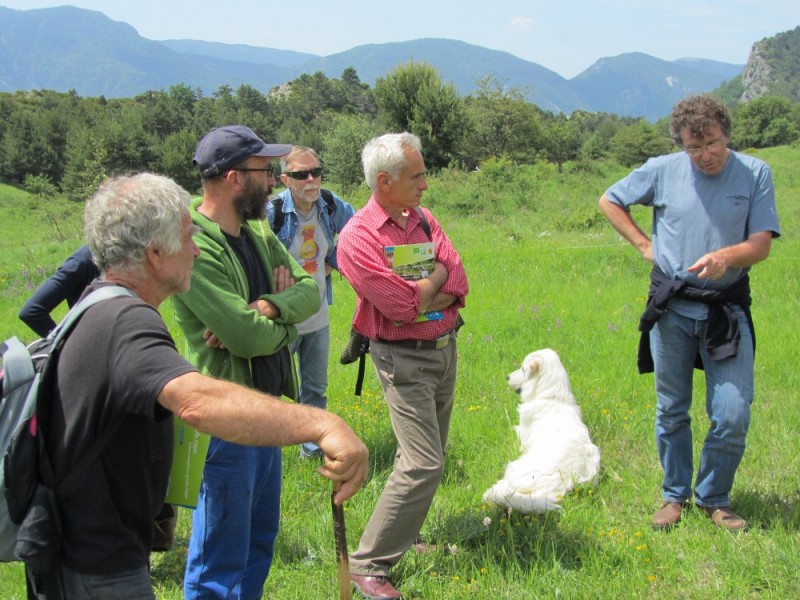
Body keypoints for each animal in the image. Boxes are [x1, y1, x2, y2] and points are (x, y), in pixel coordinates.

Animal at [482, 350, 600, 512]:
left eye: (522, 368)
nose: (507, 377)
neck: (552, 397)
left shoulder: (523, 438)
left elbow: (516, 430)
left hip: (516, 469)